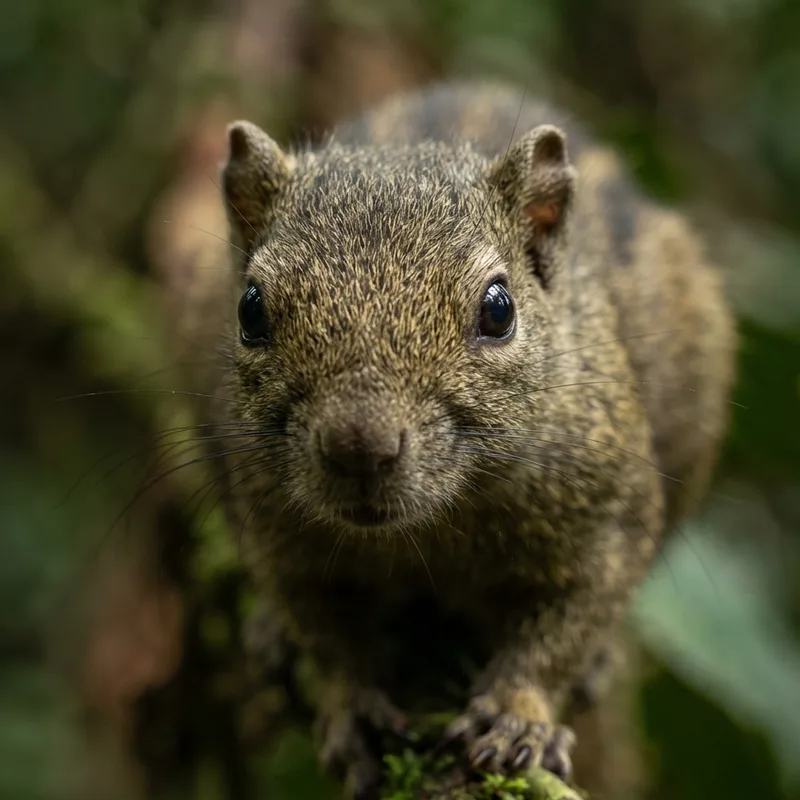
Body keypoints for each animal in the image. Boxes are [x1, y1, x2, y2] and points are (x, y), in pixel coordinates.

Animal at [182, 80, 736, 798]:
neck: (430, 532)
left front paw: (517, 715)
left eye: (499, 309)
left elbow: (570, 622)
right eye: (250, 309)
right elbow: (321, 630)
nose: (359, 448)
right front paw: (350, 704)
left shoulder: (610, 512)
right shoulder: (275, 530)